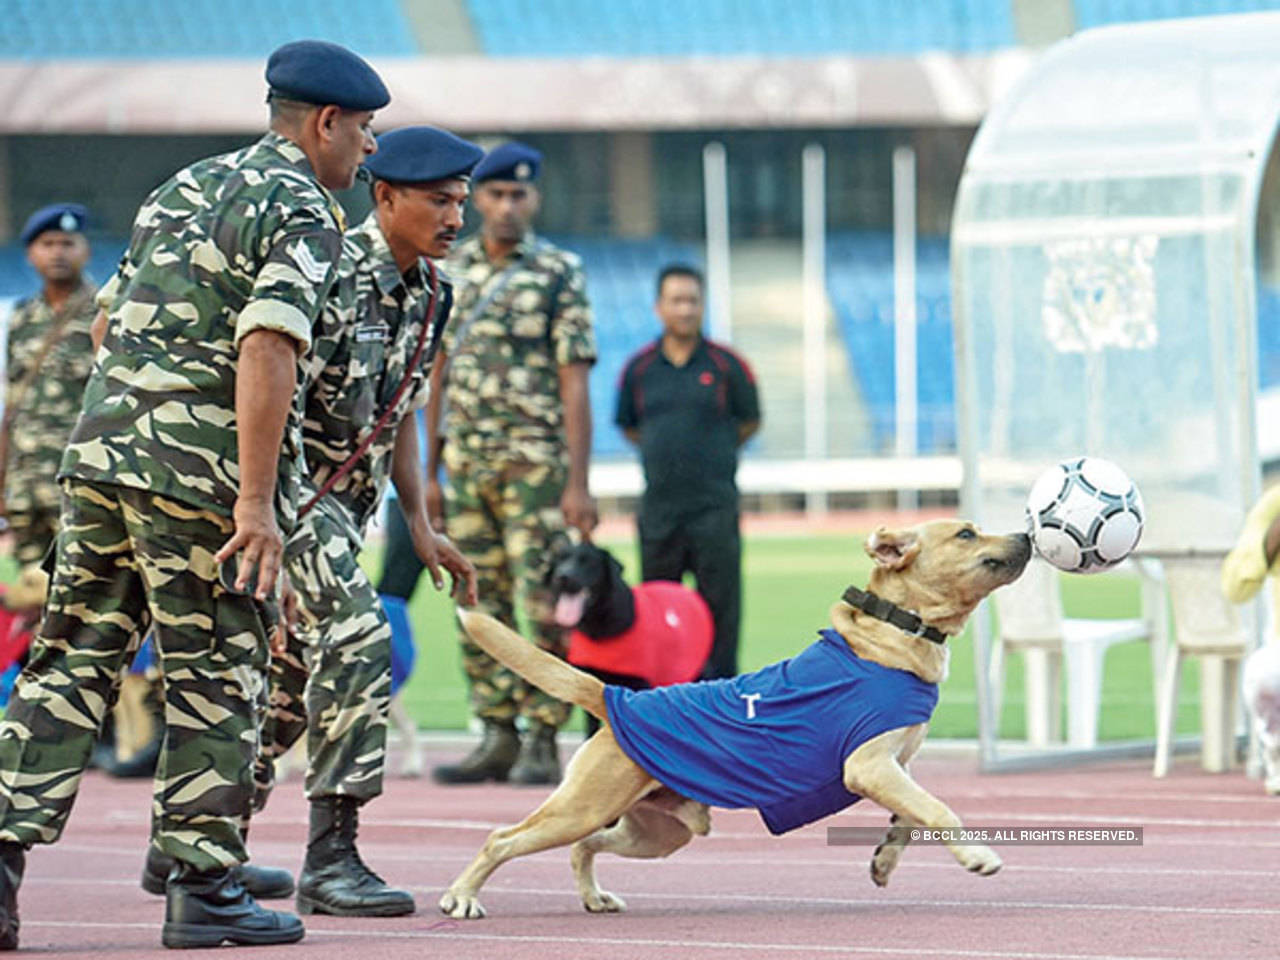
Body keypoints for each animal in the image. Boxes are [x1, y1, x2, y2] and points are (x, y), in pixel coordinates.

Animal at [440, 522, 1029, 921]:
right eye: (967, 532)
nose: (1025, 534)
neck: (894, 633)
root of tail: (615, 699)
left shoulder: (896, 766)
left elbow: (911, 815)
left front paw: (884, 861)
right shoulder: (867, 766)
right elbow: (939, 809)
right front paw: (977, 856)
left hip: (657, 831)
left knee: (584, 848)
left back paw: (593, 897)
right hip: (581, 806)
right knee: (502, 839)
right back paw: (460, 896)